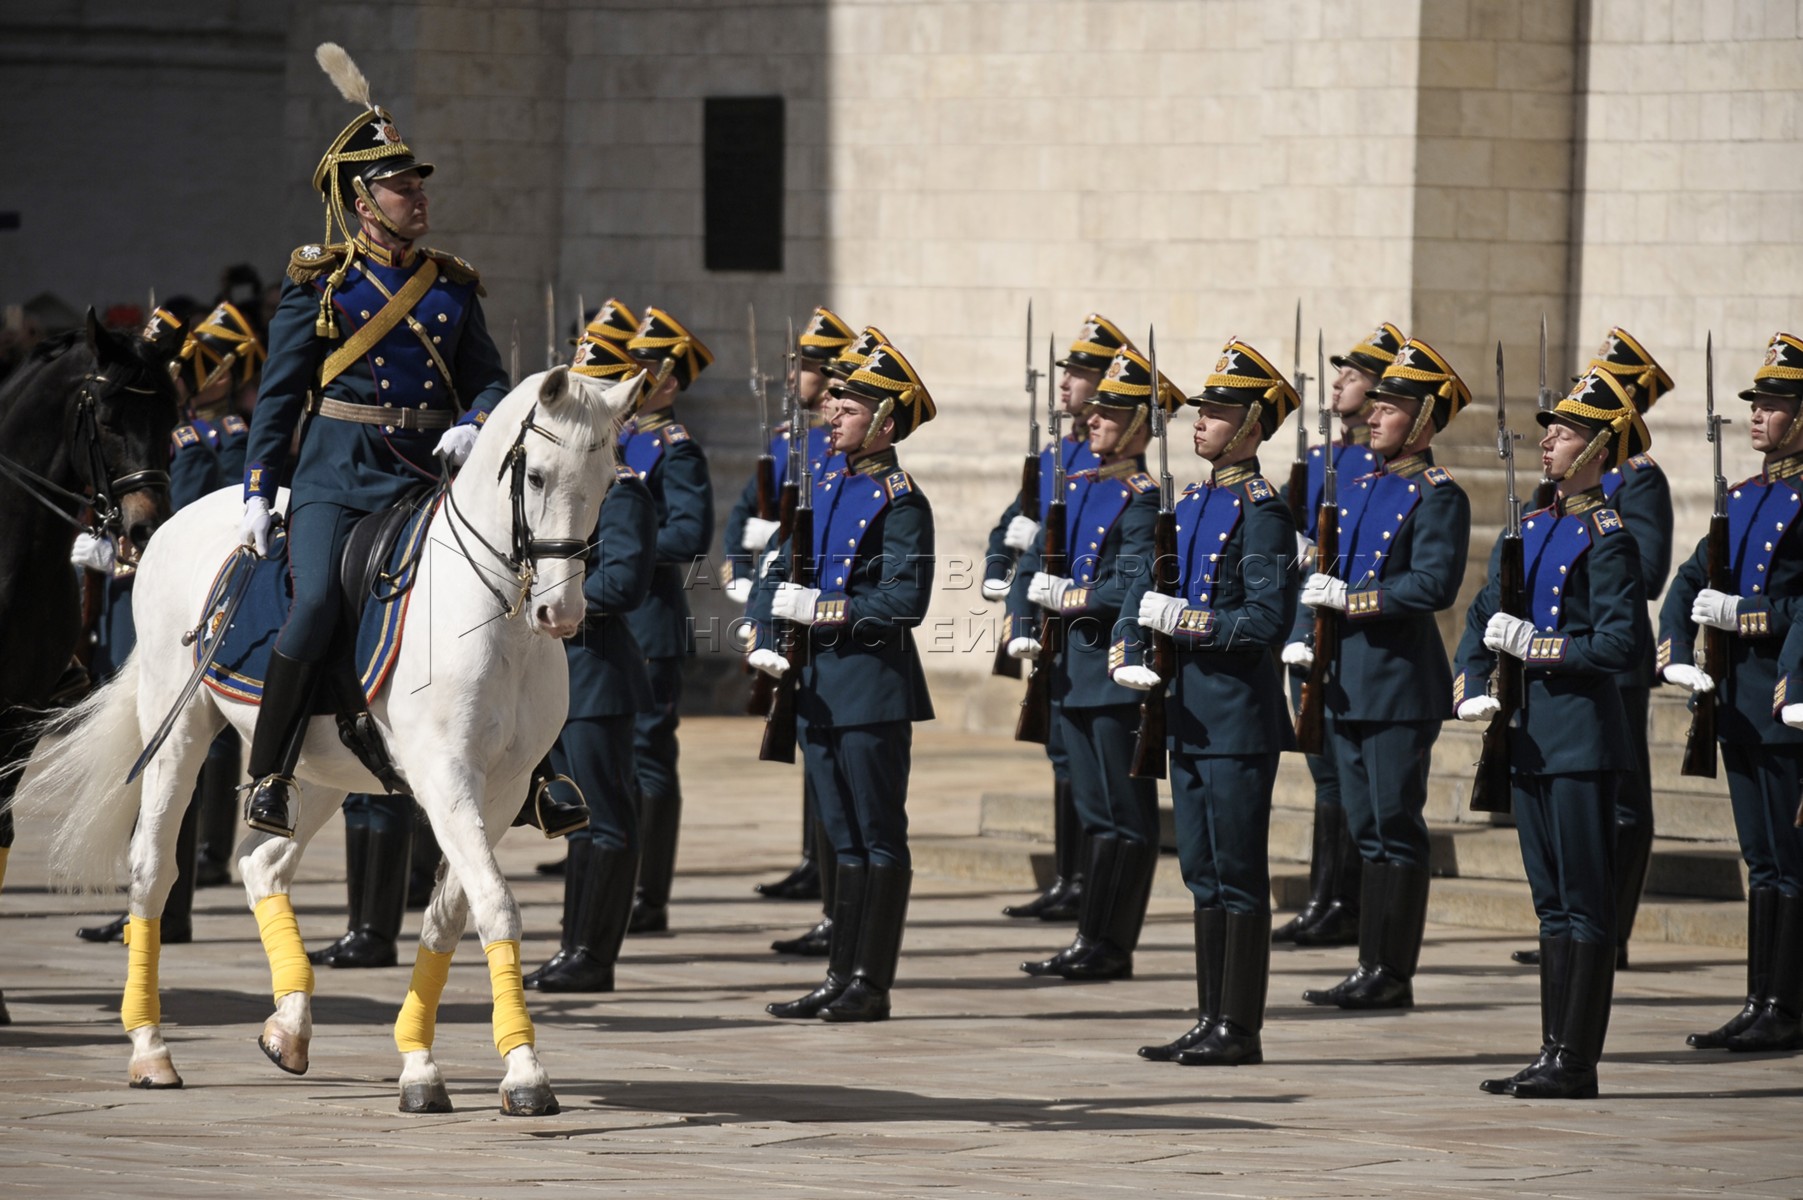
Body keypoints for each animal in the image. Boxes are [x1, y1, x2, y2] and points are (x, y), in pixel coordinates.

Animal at [7, 363, 638, 1109]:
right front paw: (524, 1071)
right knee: (154, 870)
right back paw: (150, 1048)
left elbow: (448, 917)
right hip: (179, 727)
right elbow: (495, 907)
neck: (490, 611)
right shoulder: (447, 777)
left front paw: (420, 1064)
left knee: (261, 863)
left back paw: (290, 1024)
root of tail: (177, 520)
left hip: (320, 768)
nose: (561, 613)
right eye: (535, 476)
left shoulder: (503, 789)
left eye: (607, 482)